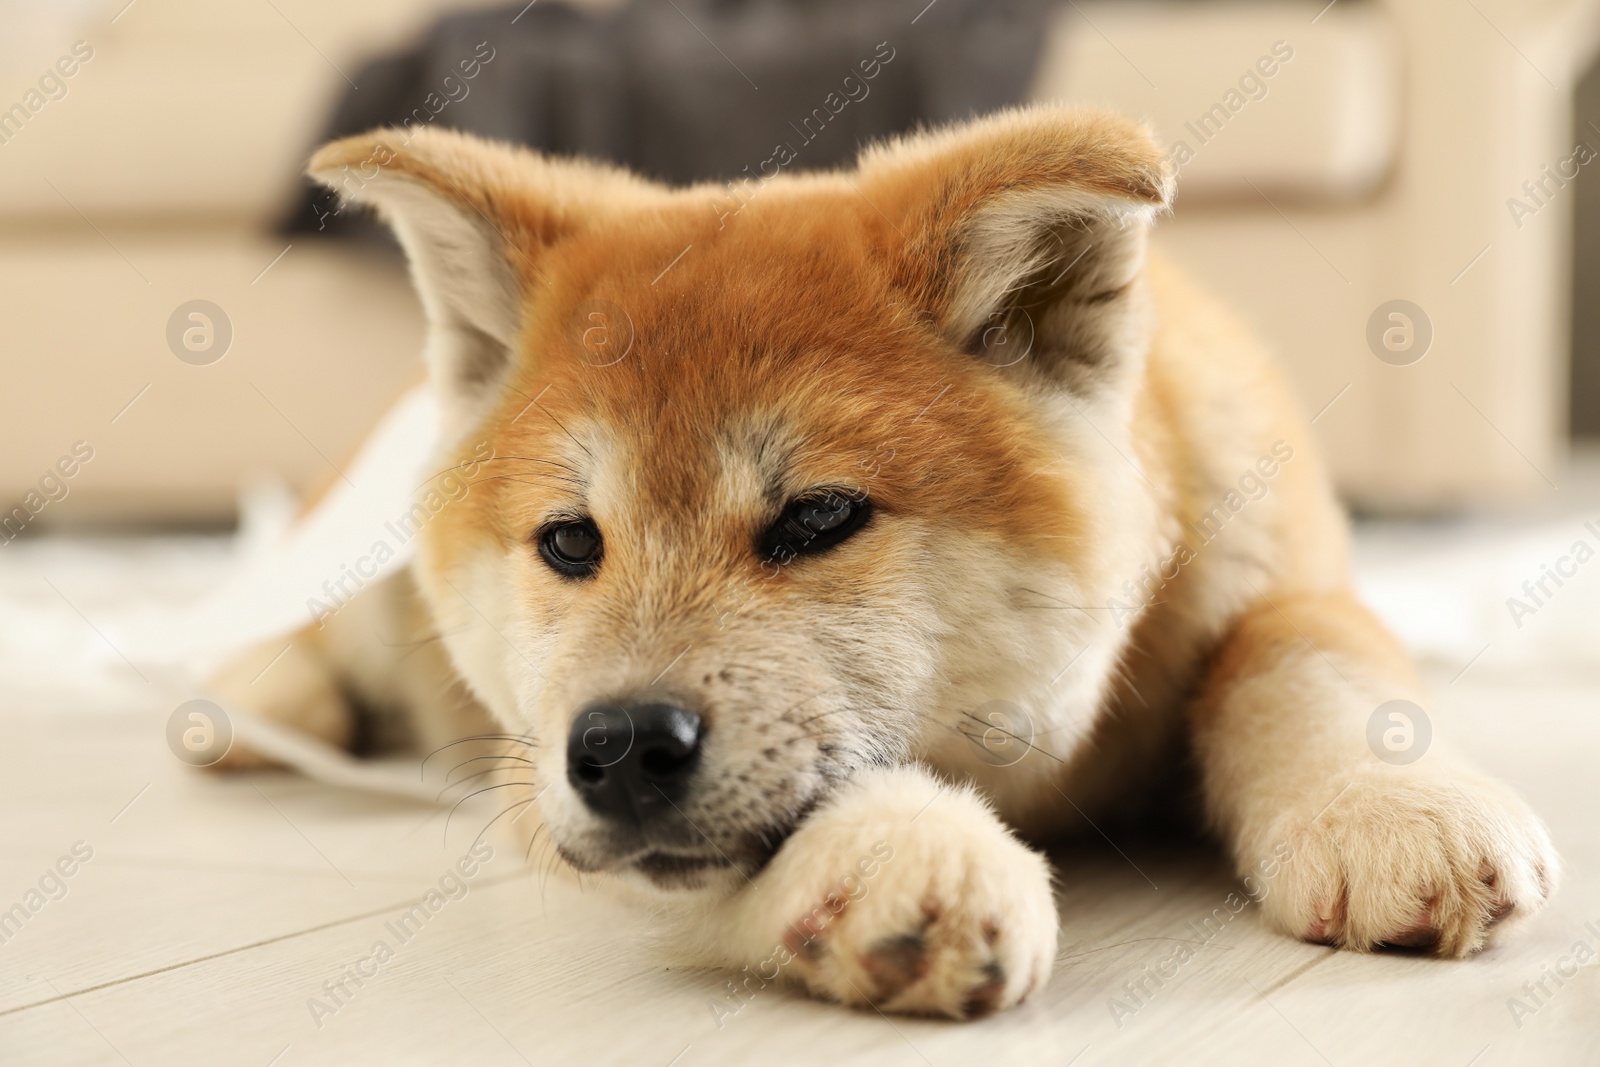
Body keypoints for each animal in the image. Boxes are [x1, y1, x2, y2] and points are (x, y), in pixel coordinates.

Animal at [209, 106, 1548, 1017]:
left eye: (816, 518)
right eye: (569, 541)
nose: (619, 742)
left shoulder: (1284, 572)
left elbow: (1295, 650)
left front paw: (1385, 802)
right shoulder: (528, 778)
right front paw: (899, 847)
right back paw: (251, 705)